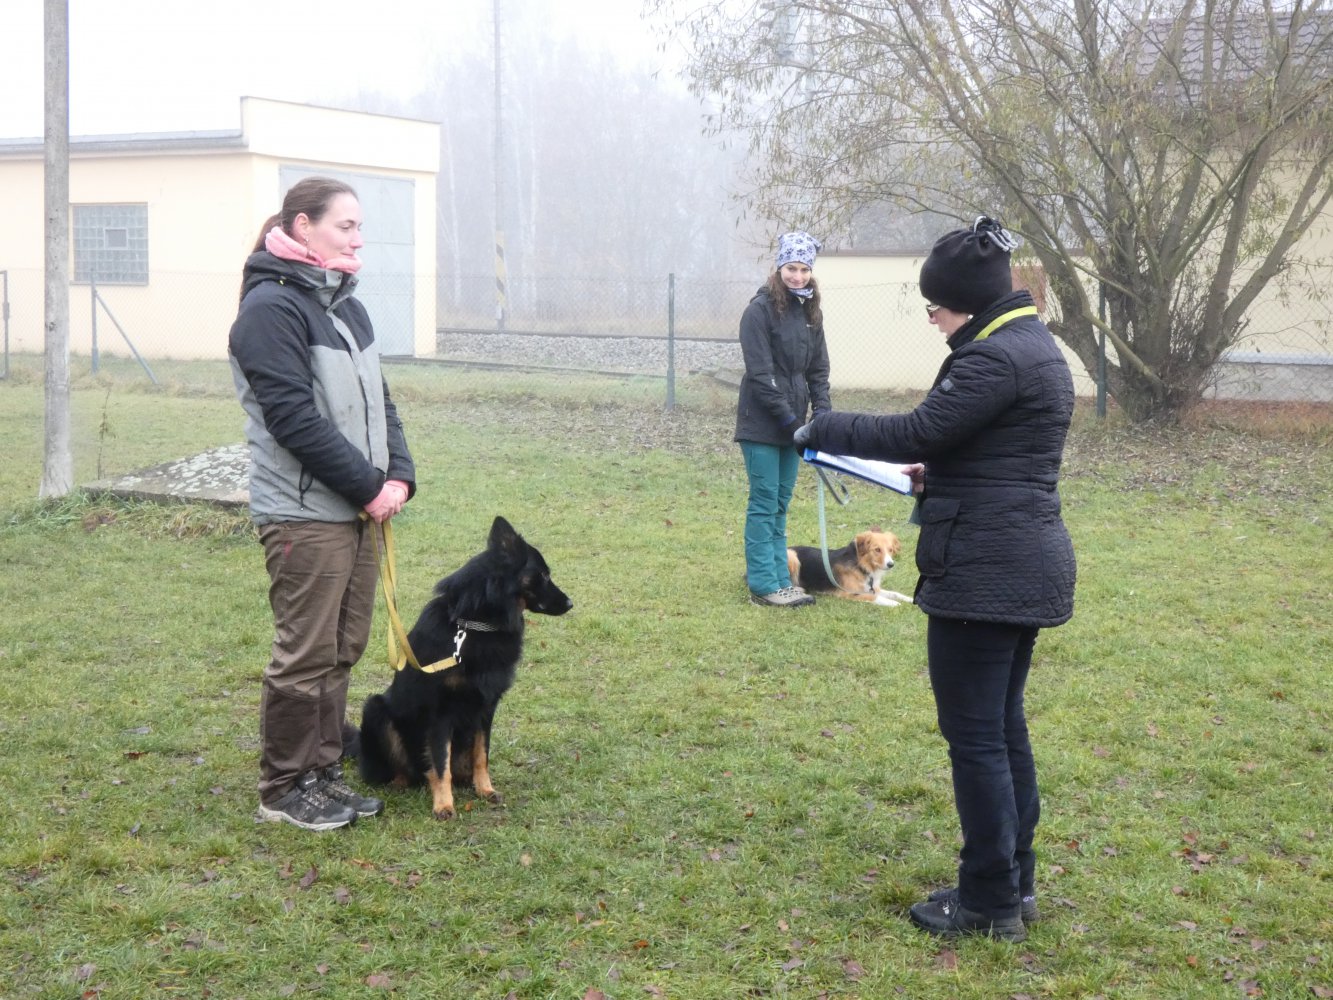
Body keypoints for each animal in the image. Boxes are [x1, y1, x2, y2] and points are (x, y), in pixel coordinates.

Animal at [357, 515, 572, 820]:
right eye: (542, 575)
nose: (570, 603)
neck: (473, 624)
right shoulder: (440, 714)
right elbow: (440, 764)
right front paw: (444, 805)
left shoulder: (486, 708)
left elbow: (482, 755)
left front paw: (485, 789)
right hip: (375, 708)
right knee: (406, 770)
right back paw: (401, 781)